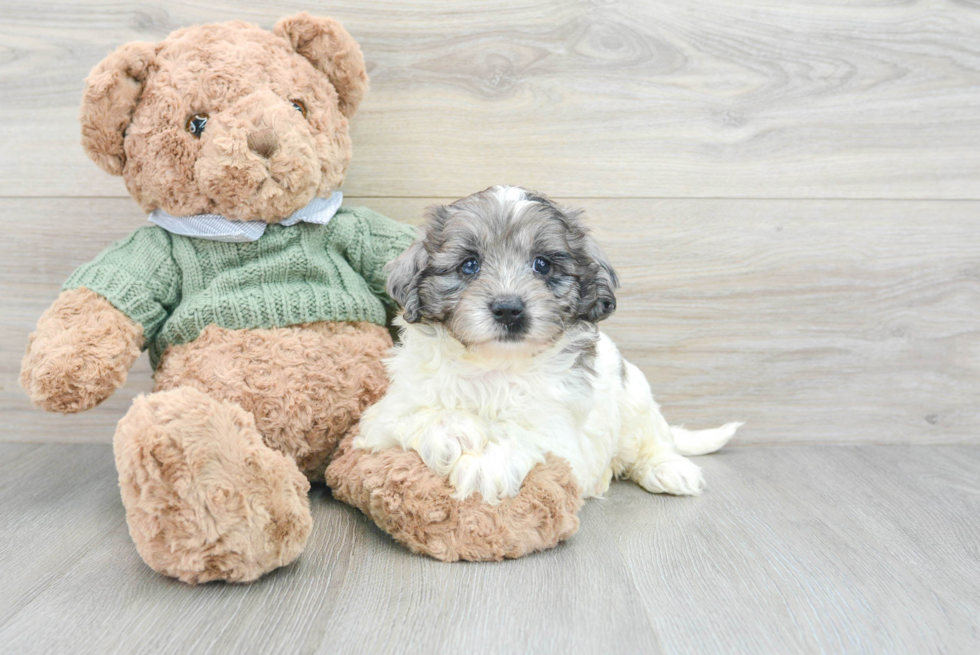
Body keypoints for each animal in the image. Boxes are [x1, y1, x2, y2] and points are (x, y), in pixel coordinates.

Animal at [356, 187, 740, 504]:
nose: (508, 309)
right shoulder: (379, 420)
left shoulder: (565, 438)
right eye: (469, 265)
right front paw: (453, 430)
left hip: (636, 400)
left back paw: (668, 468)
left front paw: (487, 465)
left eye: (542, 264)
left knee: (654, 439)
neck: (496, 363)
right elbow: (410, 416)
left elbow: (528, 434)